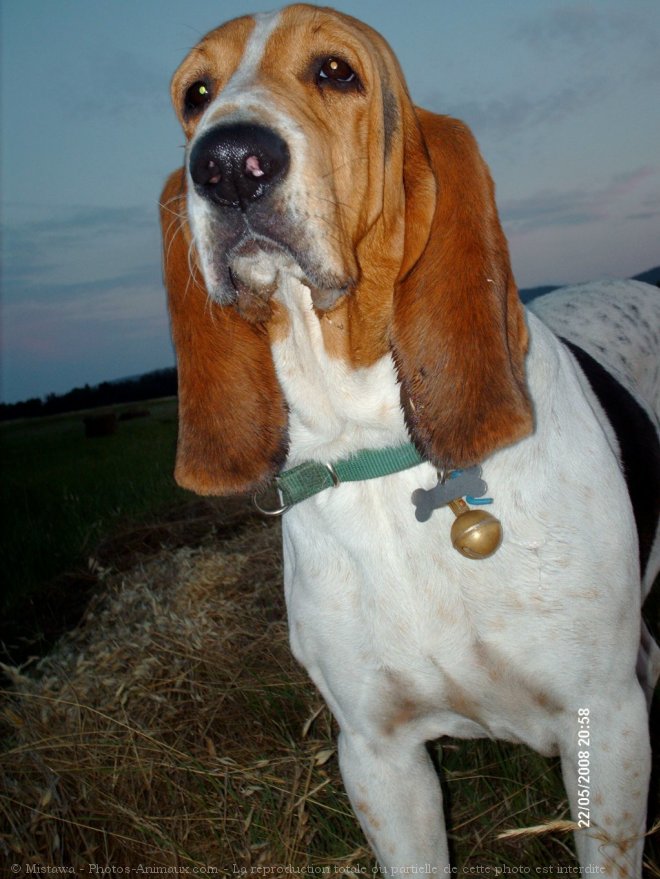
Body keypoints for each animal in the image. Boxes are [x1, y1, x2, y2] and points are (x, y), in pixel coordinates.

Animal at [157, 5, 656, 872]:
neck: (378, 452)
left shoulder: (608, 722)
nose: (224, 162)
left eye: (335, 71)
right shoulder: (377, 754)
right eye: (196, 94)